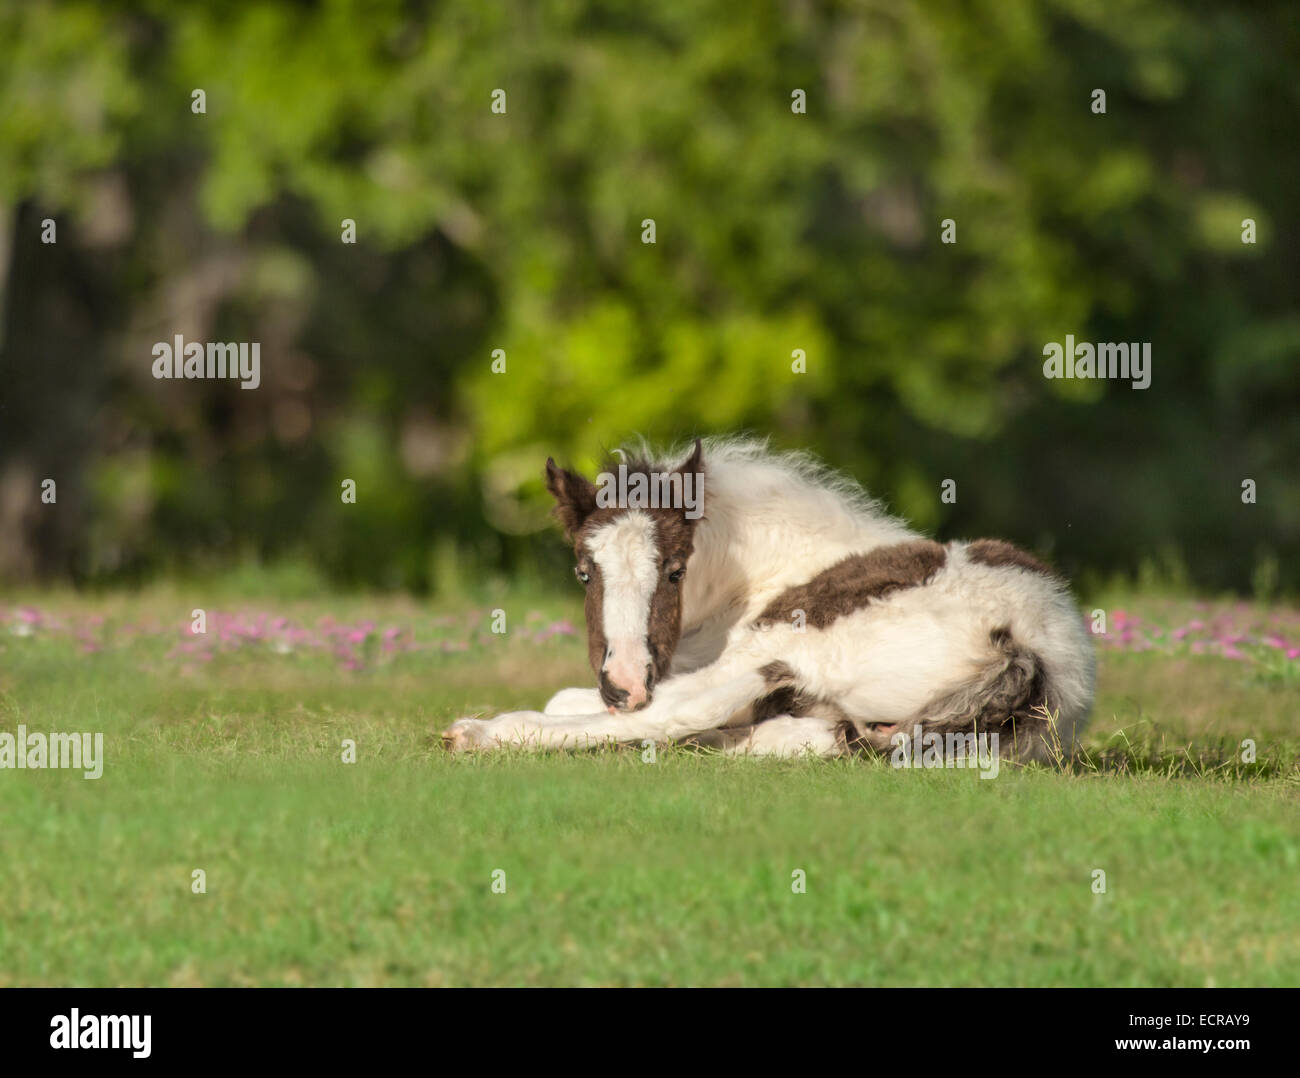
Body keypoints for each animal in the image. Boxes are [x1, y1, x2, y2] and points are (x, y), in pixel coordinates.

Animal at [444, 434, 1097, 759]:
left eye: (675, 571)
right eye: (584, 572)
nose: (624, 683)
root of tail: (1029, 652)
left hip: (789, 637)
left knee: (682, 715)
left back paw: (481, 734)